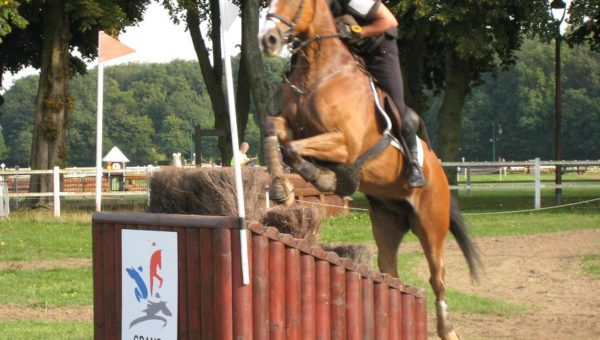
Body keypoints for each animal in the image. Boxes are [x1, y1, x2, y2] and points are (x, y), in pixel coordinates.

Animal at [260, 0, 480, 338]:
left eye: (295, 2)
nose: (268, 40)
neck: (318, 71)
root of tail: (441, 172)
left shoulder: (345, 142)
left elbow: (297, 150)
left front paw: (325, 177)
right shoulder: (292, 127)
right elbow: (275, 131)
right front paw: (282, 189)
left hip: (431, 224)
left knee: (437, 276)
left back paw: (447, 329)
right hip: (387, 221)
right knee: (390, 272)